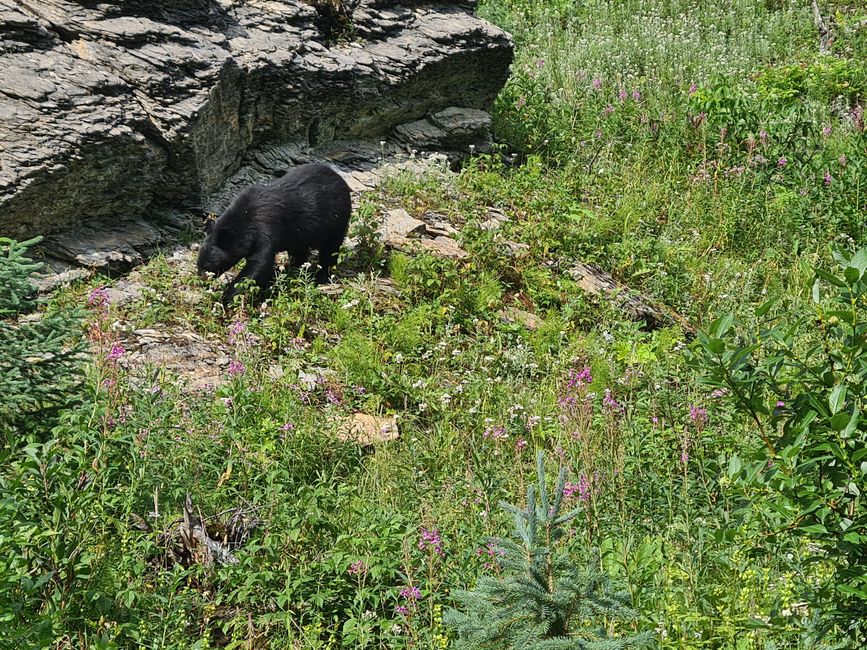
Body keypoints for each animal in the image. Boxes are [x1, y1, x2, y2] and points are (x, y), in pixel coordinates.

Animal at [199, 161, 352, 306]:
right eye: (198, 264)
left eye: (207, 266)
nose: (201, 280)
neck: (245, 216)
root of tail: (340, 180)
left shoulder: (265, 228)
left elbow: (259, 264)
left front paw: (226, 296)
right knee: (299, 252)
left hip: (336, 218)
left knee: (330, 250)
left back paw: (321, 278)